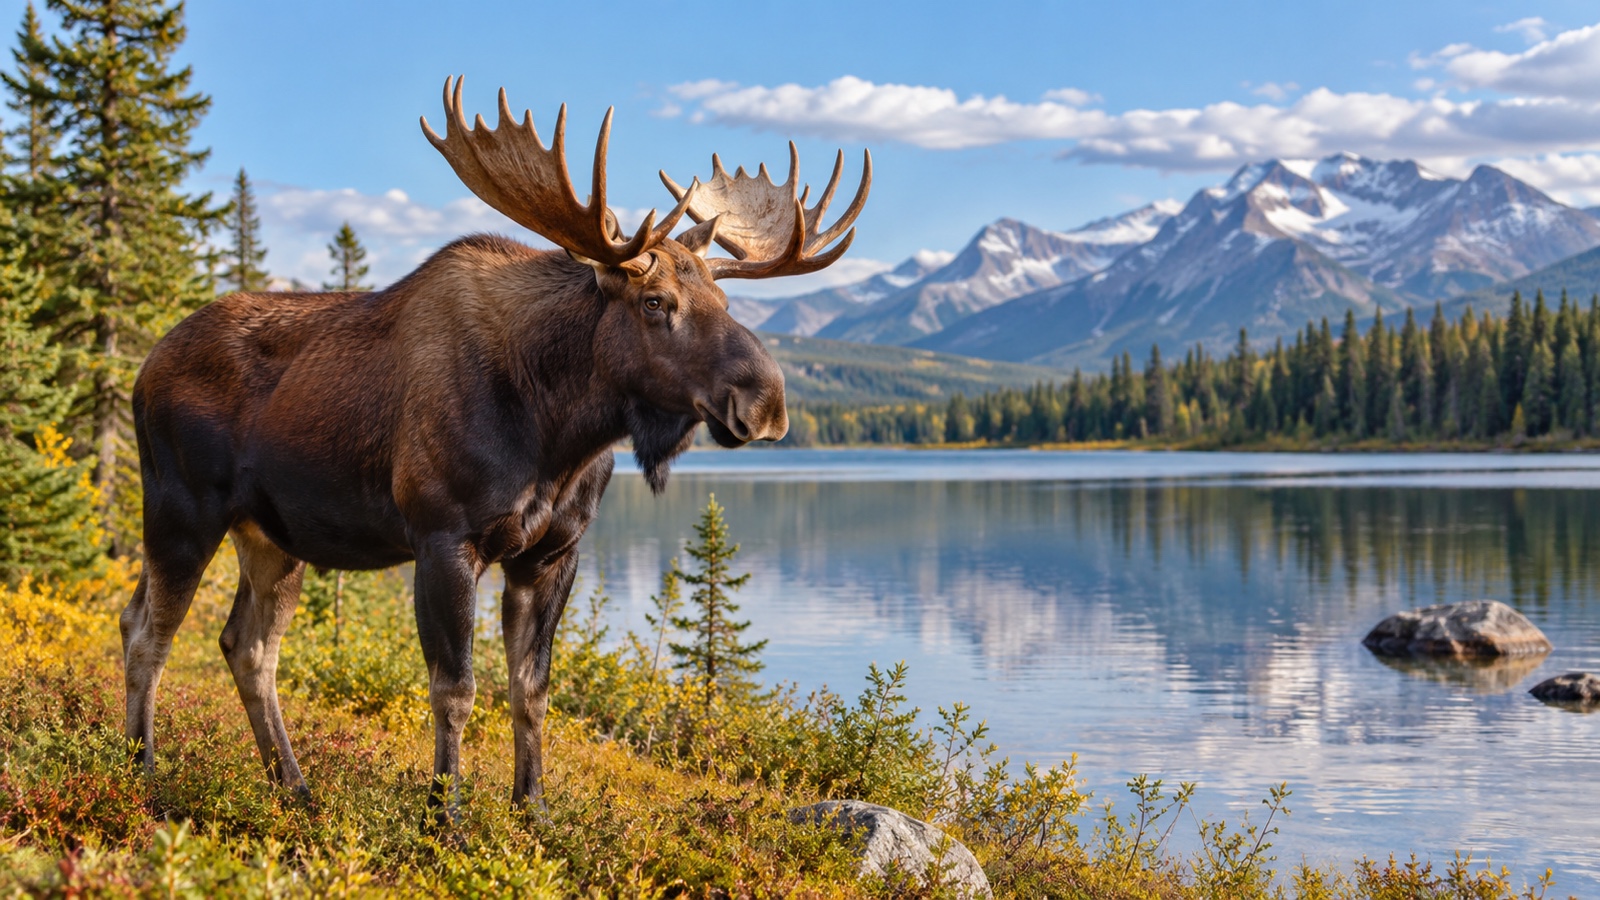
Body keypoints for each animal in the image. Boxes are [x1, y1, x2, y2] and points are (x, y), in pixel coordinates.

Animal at [119, 76, 870, 818]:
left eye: (724, 298)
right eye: (655, 302)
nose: (766, 403)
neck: (557, 436)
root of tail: (143, 368)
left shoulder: (551, 553)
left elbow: (531, 692)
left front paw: (532, 809)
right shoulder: (443, 539)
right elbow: (455, 692)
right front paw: (445, 815)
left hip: (273, 537)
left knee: (244, 646)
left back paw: (293, 787)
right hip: (181, 509)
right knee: (146, 630)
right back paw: (139, 773)